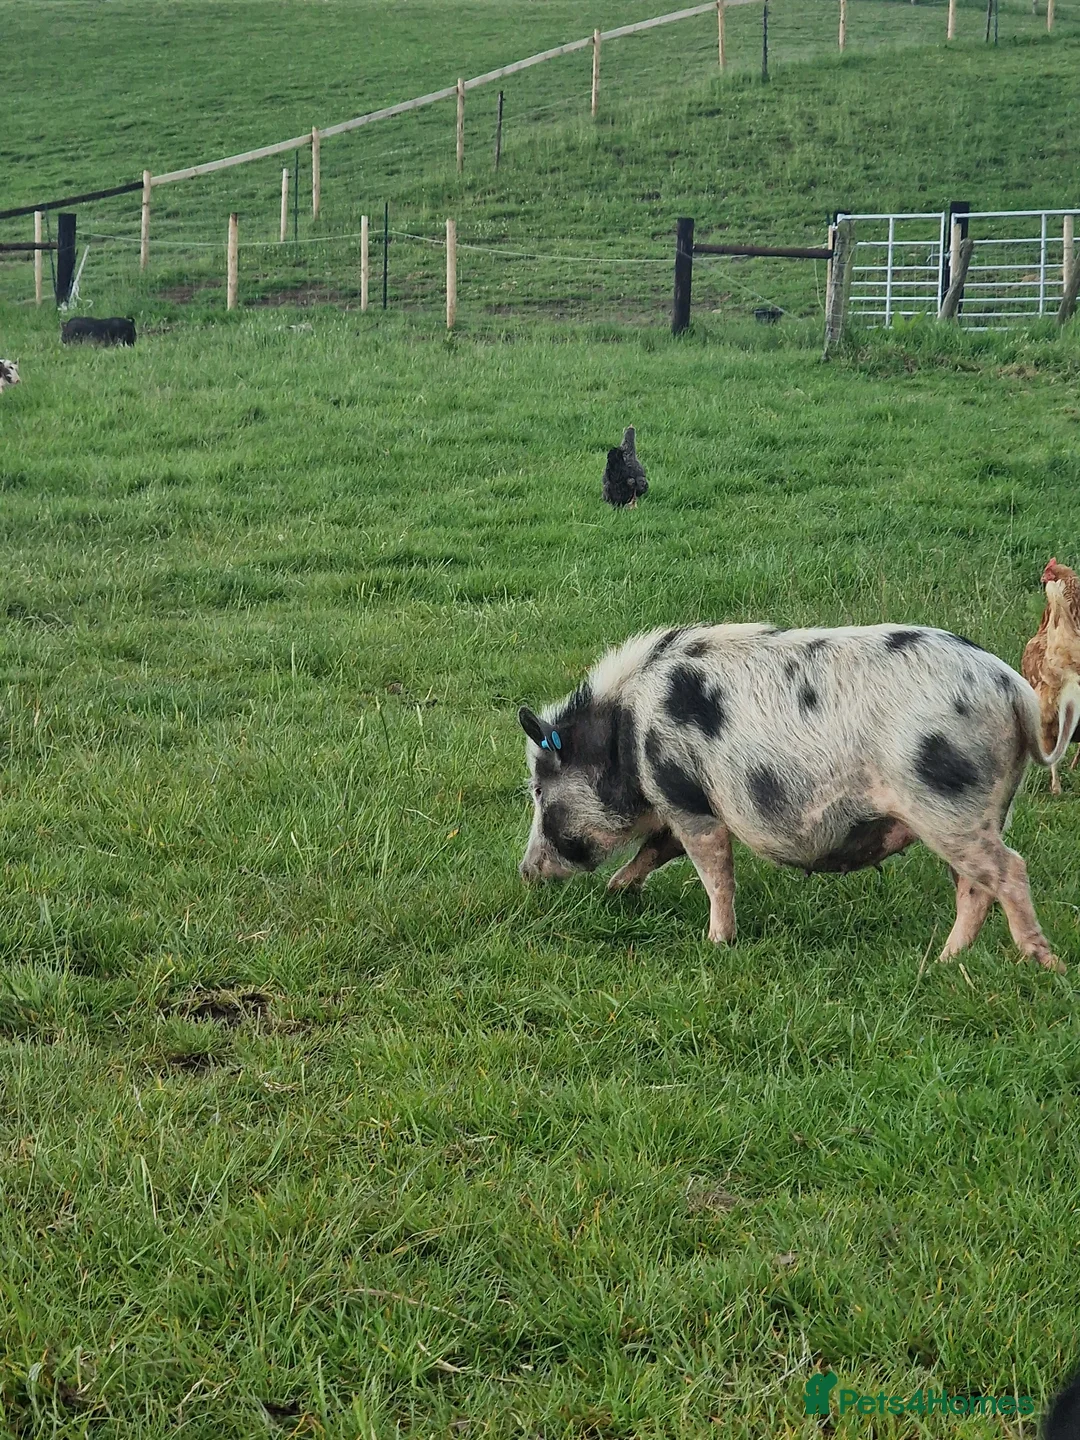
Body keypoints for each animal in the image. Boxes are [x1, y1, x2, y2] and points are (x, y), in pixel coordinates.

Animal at [519, 623, 1080, 973]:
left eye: (540, 789)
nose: (525, 871)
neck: (625, 734)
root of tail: (1014, 690)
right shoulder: (678, 805)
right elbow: (656, 849)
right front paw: (617, 890)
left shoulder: (685, 795)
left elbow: (714, 871)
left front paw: (716, 943)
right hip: (978, 812)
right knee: (975, 887)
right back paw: (942, 962)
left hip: (947, 802)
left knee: (1009, 870)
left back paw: (1041, 963)